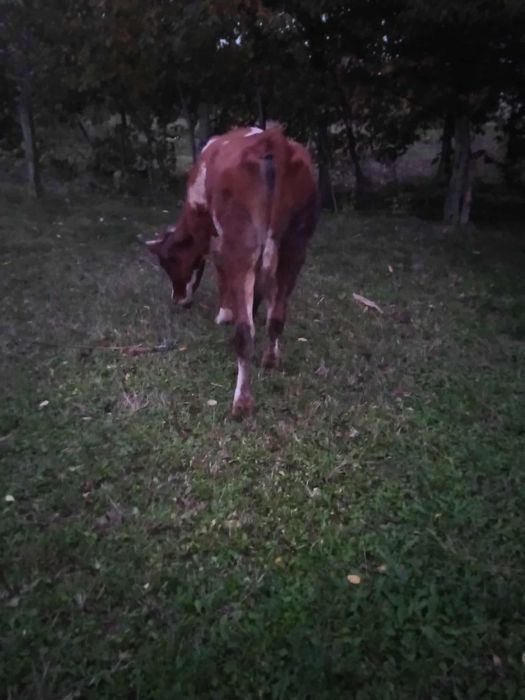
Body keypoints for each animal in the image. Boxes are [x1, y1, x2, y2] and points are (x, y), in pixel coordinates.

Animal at [145, 126, 319, 417]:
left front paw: (225, 313)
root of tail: (273, 138)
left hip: (241, 243)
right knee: (277, 315)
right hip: (296, 243)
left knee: (244, 334)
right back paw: (270, 359)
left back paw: (241, 402)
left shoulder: (219, 240)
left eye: (168, 262)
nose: (178, 300)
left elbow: (221, 275)